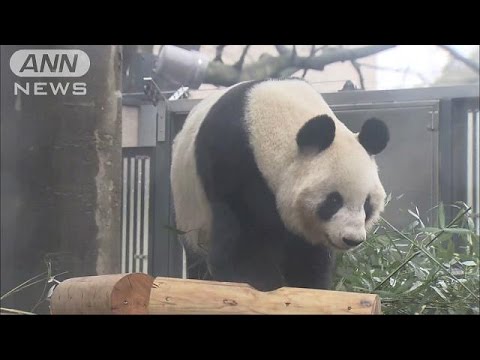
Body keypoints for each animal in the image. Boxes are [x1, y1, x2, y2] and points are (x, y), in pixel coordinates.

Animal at [171, 77, 388, 292]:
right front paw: (259, 280)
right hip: (190, 215)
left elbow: (307, 254)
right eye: (334, 200)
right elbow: (242, 233)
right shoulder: (230, 158)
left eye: (367, 204)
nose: (352, 239)